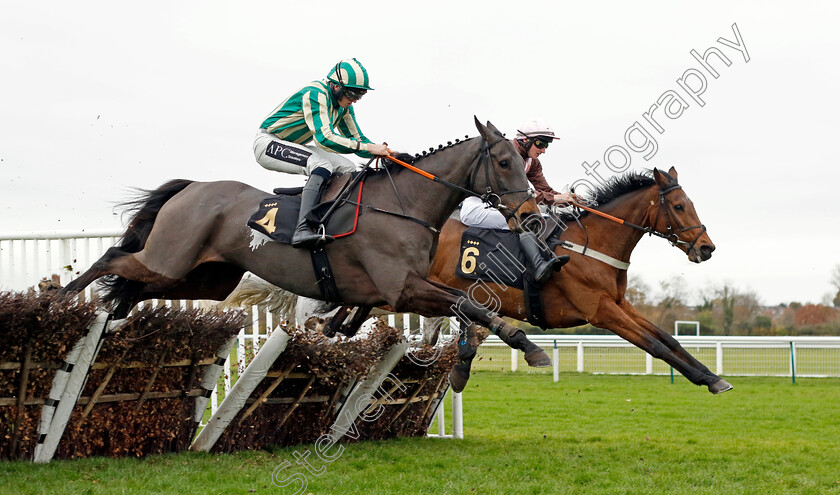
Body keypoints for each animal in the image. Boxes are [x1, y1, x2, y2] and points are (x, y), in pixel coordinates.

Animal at [62, 119, 556, 368]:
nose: (532, 216)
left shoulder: (390, 291)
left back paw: (113, 318)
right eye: (505, 161)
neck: (403, 205)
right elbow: (468, 303)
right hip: (169, 259)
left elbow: (465, 306)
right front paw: (529, 346)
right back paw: (60, 299)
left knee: (134, 284)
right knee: (113, 257)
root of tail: (192, 188)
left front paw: (518, 345)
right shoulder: (402, 289)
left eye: (522, 161)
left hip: (203, 279)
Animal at [430, 167, 732, 396]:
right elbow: (654, 345)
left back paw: (464, 365)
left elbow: (669, 339)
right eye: (679, 206)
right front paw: (706, 379)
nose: (707, 247)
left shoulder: (619, 302)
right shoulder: (600, 311)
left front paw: (712, 377)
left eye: (691, 204)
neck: (593, 245)